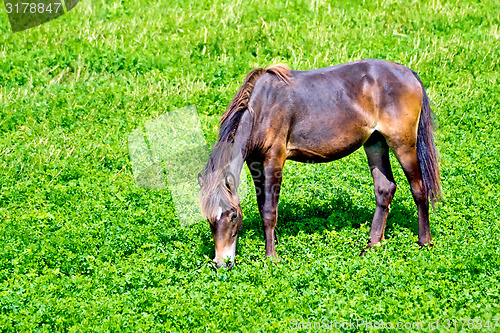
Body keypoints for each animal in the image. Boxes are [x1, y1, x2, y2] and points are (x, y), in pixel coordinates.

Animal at [197, 59, 440, 268]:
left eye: (233, 215)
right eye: (209, 219)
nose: (221, 263)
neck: (261, 108)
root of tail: (409, 74)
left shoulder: (274, 159)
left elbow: (269, 210)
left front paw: (271, 257)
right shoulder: (255, 162)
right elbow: (262, 205)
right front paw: (274, 243)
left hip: (402, 143)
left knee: (419, 188)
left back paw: (424, 242)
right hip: (375, 142)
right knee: (385, 189)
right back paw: (371, 245)